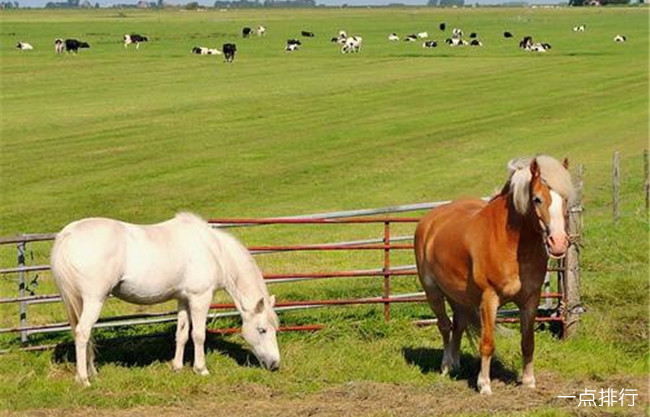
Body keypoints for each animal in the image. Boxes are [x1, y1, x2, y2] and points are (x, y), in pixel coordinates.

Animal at [52, 213, 280, 386]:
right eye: (262, 330)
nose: (275, 365)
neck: (213, 249)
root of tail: (68, 233)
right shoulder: (200, 298)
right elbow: (198, 335)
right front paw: (201, 369)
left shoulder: (183, 299)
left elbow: (182, 334)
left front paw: (177, 367)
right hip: (94, 300)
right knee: (82, 333)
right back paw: (84, 380)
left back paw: (90, 373)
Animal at [416, 156, 572, 394]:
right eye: (537, 199)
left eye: (564, 199)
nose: (559, 243)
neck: (511, 243)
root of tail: (429, 221)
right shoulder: (489, 299)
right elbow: (487, 343)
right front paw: (484, 385)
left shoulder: (530, 300)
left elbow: (528, 342)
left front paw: (529, 381)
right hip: (432, 291)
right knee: (444, 326)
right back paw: (445, 367)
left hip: (458, 296)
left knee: (458, 325)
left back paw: (455, 365)